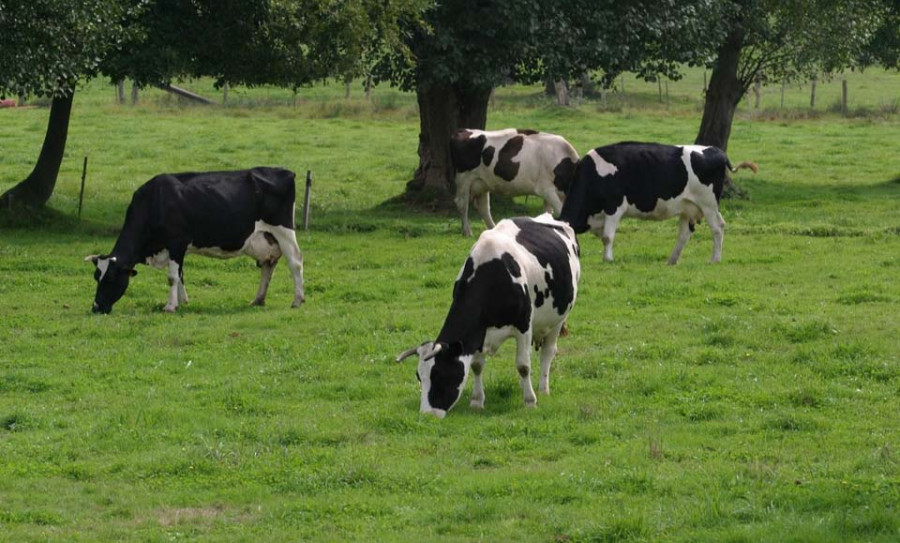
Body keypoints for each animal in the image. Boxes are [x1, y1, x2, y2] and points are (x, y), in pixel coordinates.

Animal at [88, 168, 306, 316]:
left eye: (111, 278)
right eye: (96, 277)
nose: (96, 307)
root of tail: (286, 172)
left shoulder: (177, 241)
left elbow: (172, 277)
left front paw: (170, 306)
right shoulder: (177, 248)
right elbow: (180, 274)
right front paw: (183, 301)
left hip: (283, 230)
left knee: (295, 262)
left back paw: (297, 300)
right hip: (267, 238)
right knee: (268, 265)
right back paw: (258, 300)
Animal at [398, 215, 580, 418]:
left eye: (440, 374)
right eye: (419, 376)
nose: (427, 415)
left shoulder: (524, 325)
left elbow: (523, 365)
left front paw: (530, 401)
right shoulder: (479, 331)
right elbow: (477, 365)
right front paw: (477, 401)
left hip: (558, 318)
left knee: (548, 352)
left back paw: (542, 389)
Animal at [448, 130, 576, 238]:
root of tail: (462, 131)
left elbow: (548, 213)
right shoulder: (546, 189)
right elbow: (560, 211)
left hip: (482, 182)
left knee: (484, 208)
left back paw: (493, 229)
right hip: (464, 179)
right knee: (462, 204)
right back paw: (467, 231)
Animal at [560, 142, 756, 266]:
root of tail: (716, 151)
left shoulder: (614, 207)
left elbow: (608, 237)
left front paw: (607, 259)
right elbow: (604, 236)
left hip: (708, 205)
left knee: (718, 227)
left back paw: (715, 259)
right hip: (687, 207)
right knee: (684, 234)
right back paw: (671, 260)